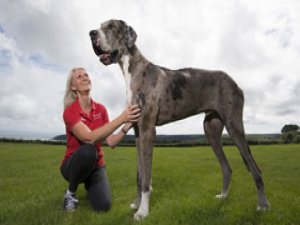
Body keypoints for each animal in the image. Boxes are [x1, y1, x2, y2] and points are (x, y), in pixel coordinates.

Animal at [88, 19, 270, 220]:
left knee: (256, 169)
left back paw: (262, 205)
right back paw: (223, 196)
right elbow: (139, 174)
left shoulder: (148, 130)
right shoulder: (137, 132)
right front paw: (136, 204)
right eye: (100, 25)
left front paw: (143, 211)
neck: (133, 69)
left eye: (112, 26)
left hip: (234, 126)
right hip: (211, 131)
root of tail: (234, 81)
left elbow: (146, 179)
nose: (92, 33)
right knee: (227, 168)